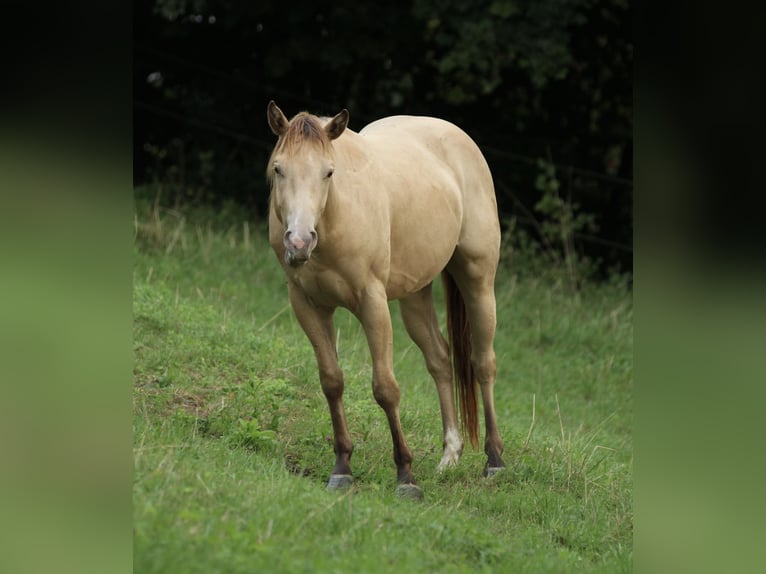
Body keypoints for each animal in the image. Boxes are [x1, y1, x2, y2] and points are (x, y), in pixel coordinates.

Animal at [266, 100, 505, 498]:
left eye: (328, 172)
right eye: (278, 169)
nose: (299, 242)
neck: (336, 217)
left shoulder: (372, 302)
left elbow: (385, 389)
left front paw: (406, 476)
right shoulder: (307, 305)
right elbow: (331, 381)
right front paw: (342, 467)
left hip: (478, 280)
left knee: (482, 363)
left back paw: (495, 460)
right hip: (414, 296)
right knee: (440, 360)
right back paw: (449, 457)